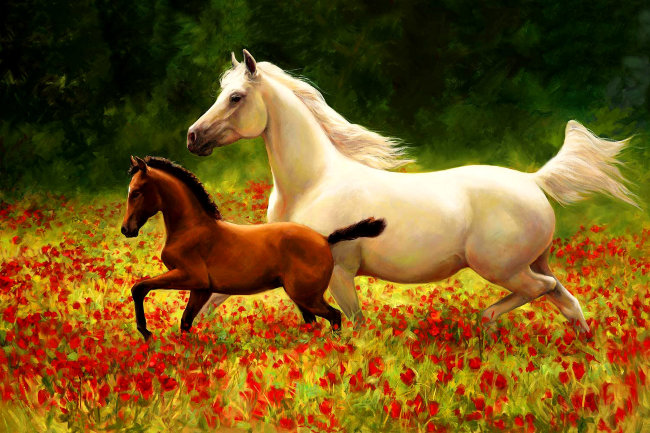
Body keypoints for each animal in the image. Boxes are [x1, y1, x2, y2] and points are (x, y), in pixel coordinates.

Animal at [120, 156, 386, 340]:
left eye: (136, 192)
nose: (126, 229)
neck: (191, 228)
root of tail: (324, 238)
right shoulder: (201, 288)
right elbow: (185, 322)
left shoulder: (189, 276)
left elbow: (139, 287)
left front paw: (145, 332)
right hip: (302, 297)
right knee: (315, 323)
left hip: (306, 296)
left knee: (335, 316)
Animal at [186, 50, 638, 333]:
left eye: (235, 97)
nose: (193, 137)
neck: (312, 184)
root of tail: (532, 181)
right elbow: (215, 299)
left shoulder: (342, 272)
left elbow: (355, 325)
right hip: (532, 263)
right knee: (567, 300)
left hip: (502, 267)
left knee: (541, 290)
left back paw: (485, 318)